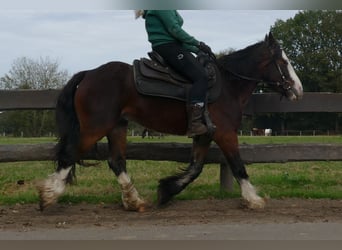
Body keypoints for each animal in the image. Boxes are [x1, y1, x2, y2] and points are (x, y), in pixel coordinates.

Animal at [37, 31, 304, 211]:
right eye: (283, 62)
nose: (298, 90)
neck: (228, 84)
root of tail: (89, 74)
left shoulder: (205, 133)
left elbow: (195, 168)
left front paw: (167, 191)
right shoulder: (225, 133)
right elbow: (238, 165)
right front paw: (253, 199)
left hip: (117, 127)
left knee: (116, 162)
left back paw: (134, 201)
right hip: (95, 127)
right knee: (70, 155)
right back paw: (49, 195)